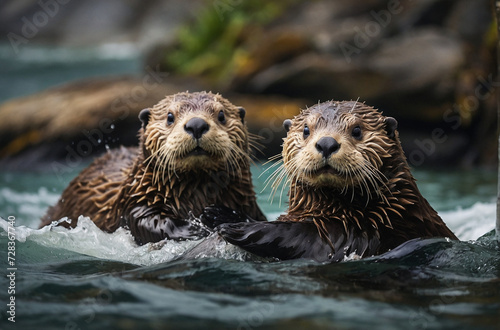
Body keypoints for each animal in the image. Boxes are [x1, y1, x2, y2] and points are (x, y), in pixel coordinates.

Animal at [40, 91, 266, 244]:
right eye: (169, 117)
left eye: (221, 115)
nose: (196, 124)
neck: (197, 195)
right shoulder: (135, 201)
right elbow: (146, 222)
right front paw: (195, 230)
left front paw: (221, 215)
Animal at [215, 99, 458, 262]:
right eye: (306, 129)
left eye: (357, 130)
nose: (326, 143)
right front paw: (218, 213)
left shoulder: (368, 234)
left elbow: (312, 240)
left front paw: (236, 228)